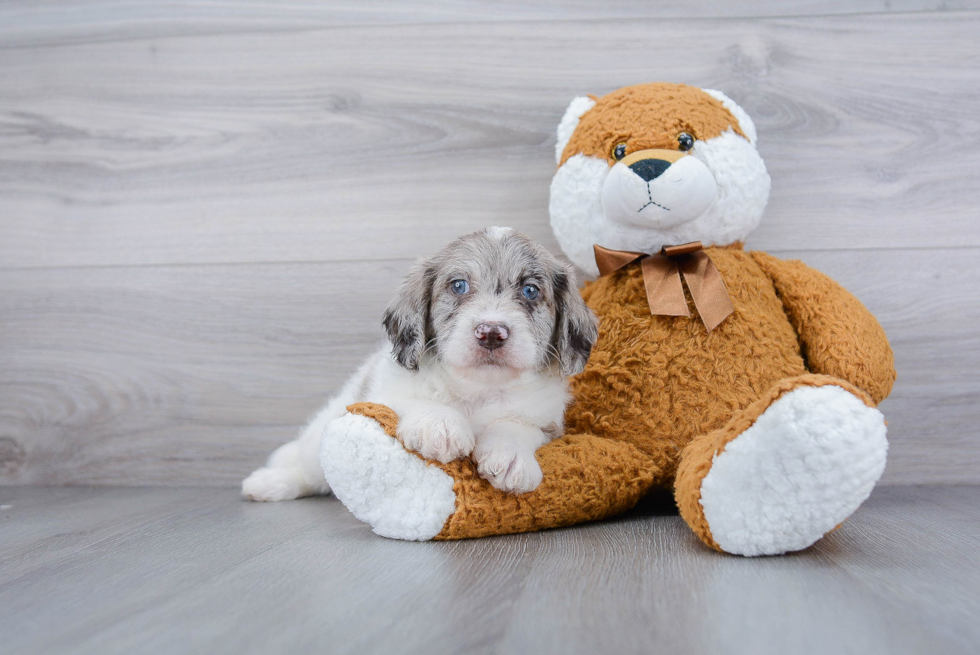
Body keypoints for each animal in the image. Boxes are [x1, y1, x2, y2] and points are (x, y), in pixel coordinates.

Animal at [245, 228, 596, 500]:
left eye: (530, 290)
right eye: (458, 285)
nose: (491, 333)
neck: (477, 390)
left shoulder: (548, 422)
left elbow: (517, 424)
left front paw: (510, 454)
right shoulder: (384, 392)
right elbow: (414, 399)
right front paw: (440, 424)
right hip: (322, 433)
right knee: (308, 471)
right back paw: (268, 483)